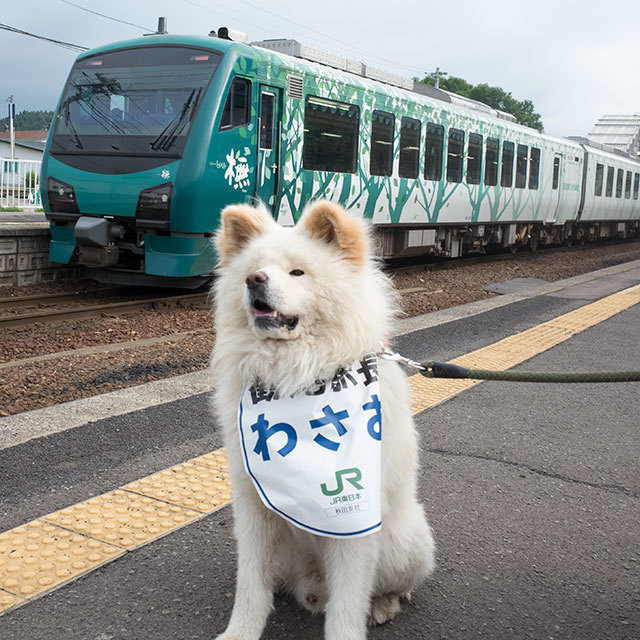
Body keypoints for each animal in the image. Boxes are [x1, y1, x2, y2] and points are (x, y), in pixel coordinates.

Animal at [210, 201, 436, 640]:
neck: (296, 376)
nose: (254, 280)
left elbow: (348, 603)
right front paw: (239, 633)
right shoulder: (253, 507)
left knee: (393, 587)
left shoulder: (355, 521)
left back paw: (383, 605)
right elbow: (251, 586)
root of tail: (311, 585)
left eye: (297, 272)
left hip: (405, 540)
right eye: (255, 269)